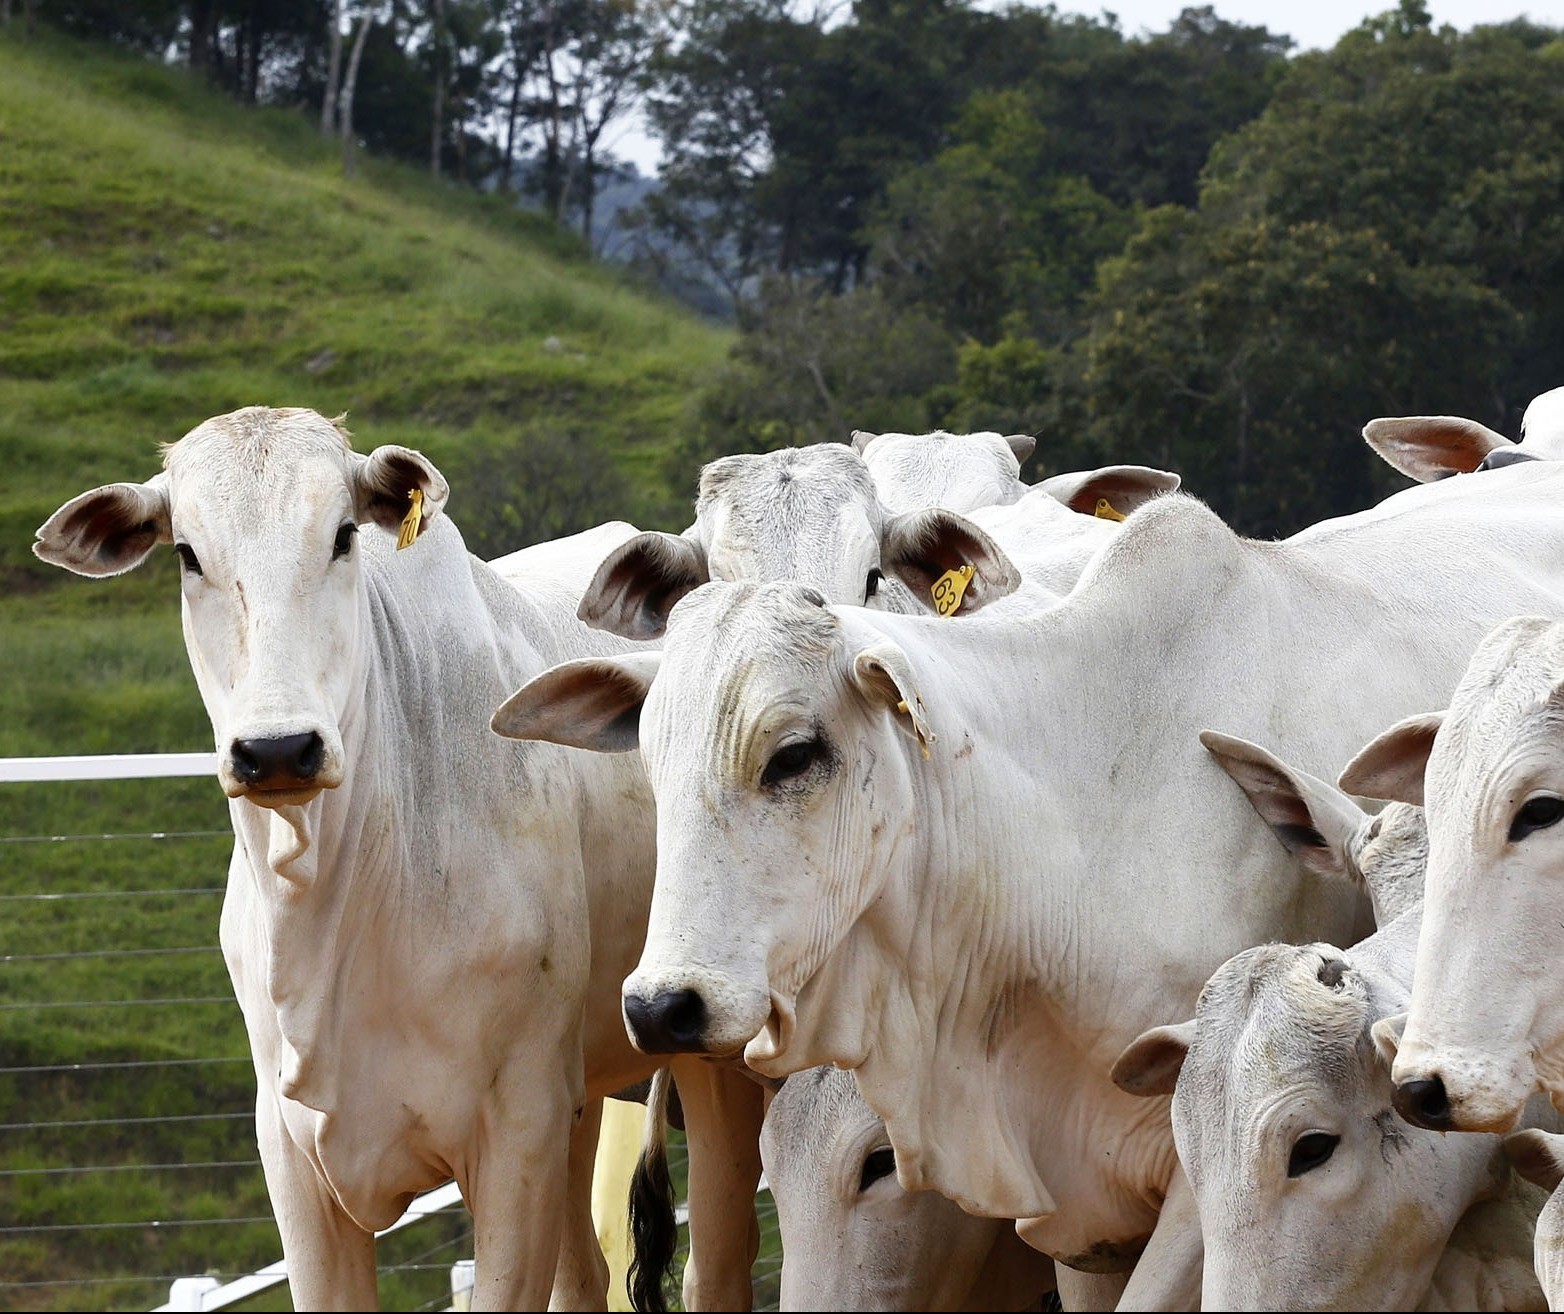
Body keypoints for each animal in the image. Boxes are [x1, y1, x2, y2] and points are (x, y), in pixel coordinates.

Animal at [33, 406, 766, 1307]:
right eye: (186, 553)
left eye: (343, 534)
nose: (277, 750)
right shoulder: (296, 1162)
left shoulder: (514, 1139)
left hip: (706, 1067)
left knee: (717, 1261)